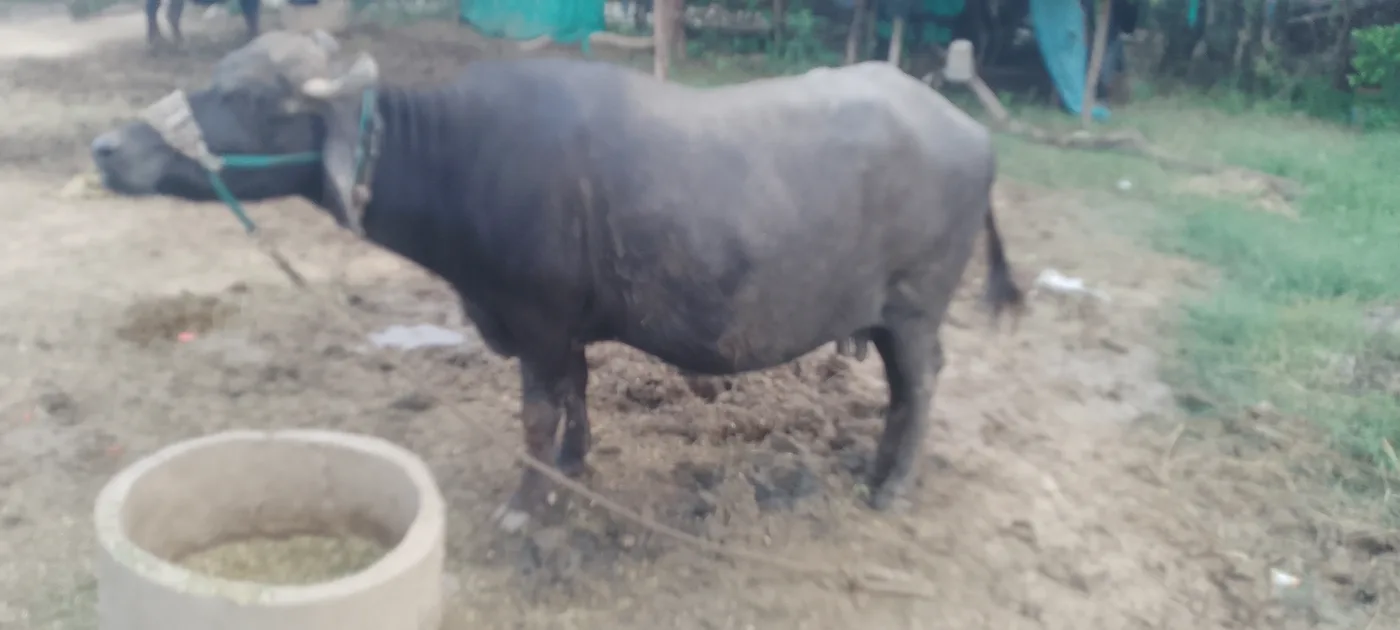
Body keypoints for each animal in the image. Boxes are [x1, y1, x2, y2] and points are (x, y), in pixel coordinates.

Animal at [90, 31, 1024, 531]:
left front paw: (527, 501)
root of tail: (971, 134)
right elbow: (576, 395)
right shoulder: (561, 326)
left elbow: (537, 414)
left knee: (920, 388)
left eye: (250, 96)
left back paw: (891, 485)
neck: (460, 159)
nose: (106, 149)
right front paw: (576, 466)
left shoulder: (534, 320)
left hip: (914, 311)